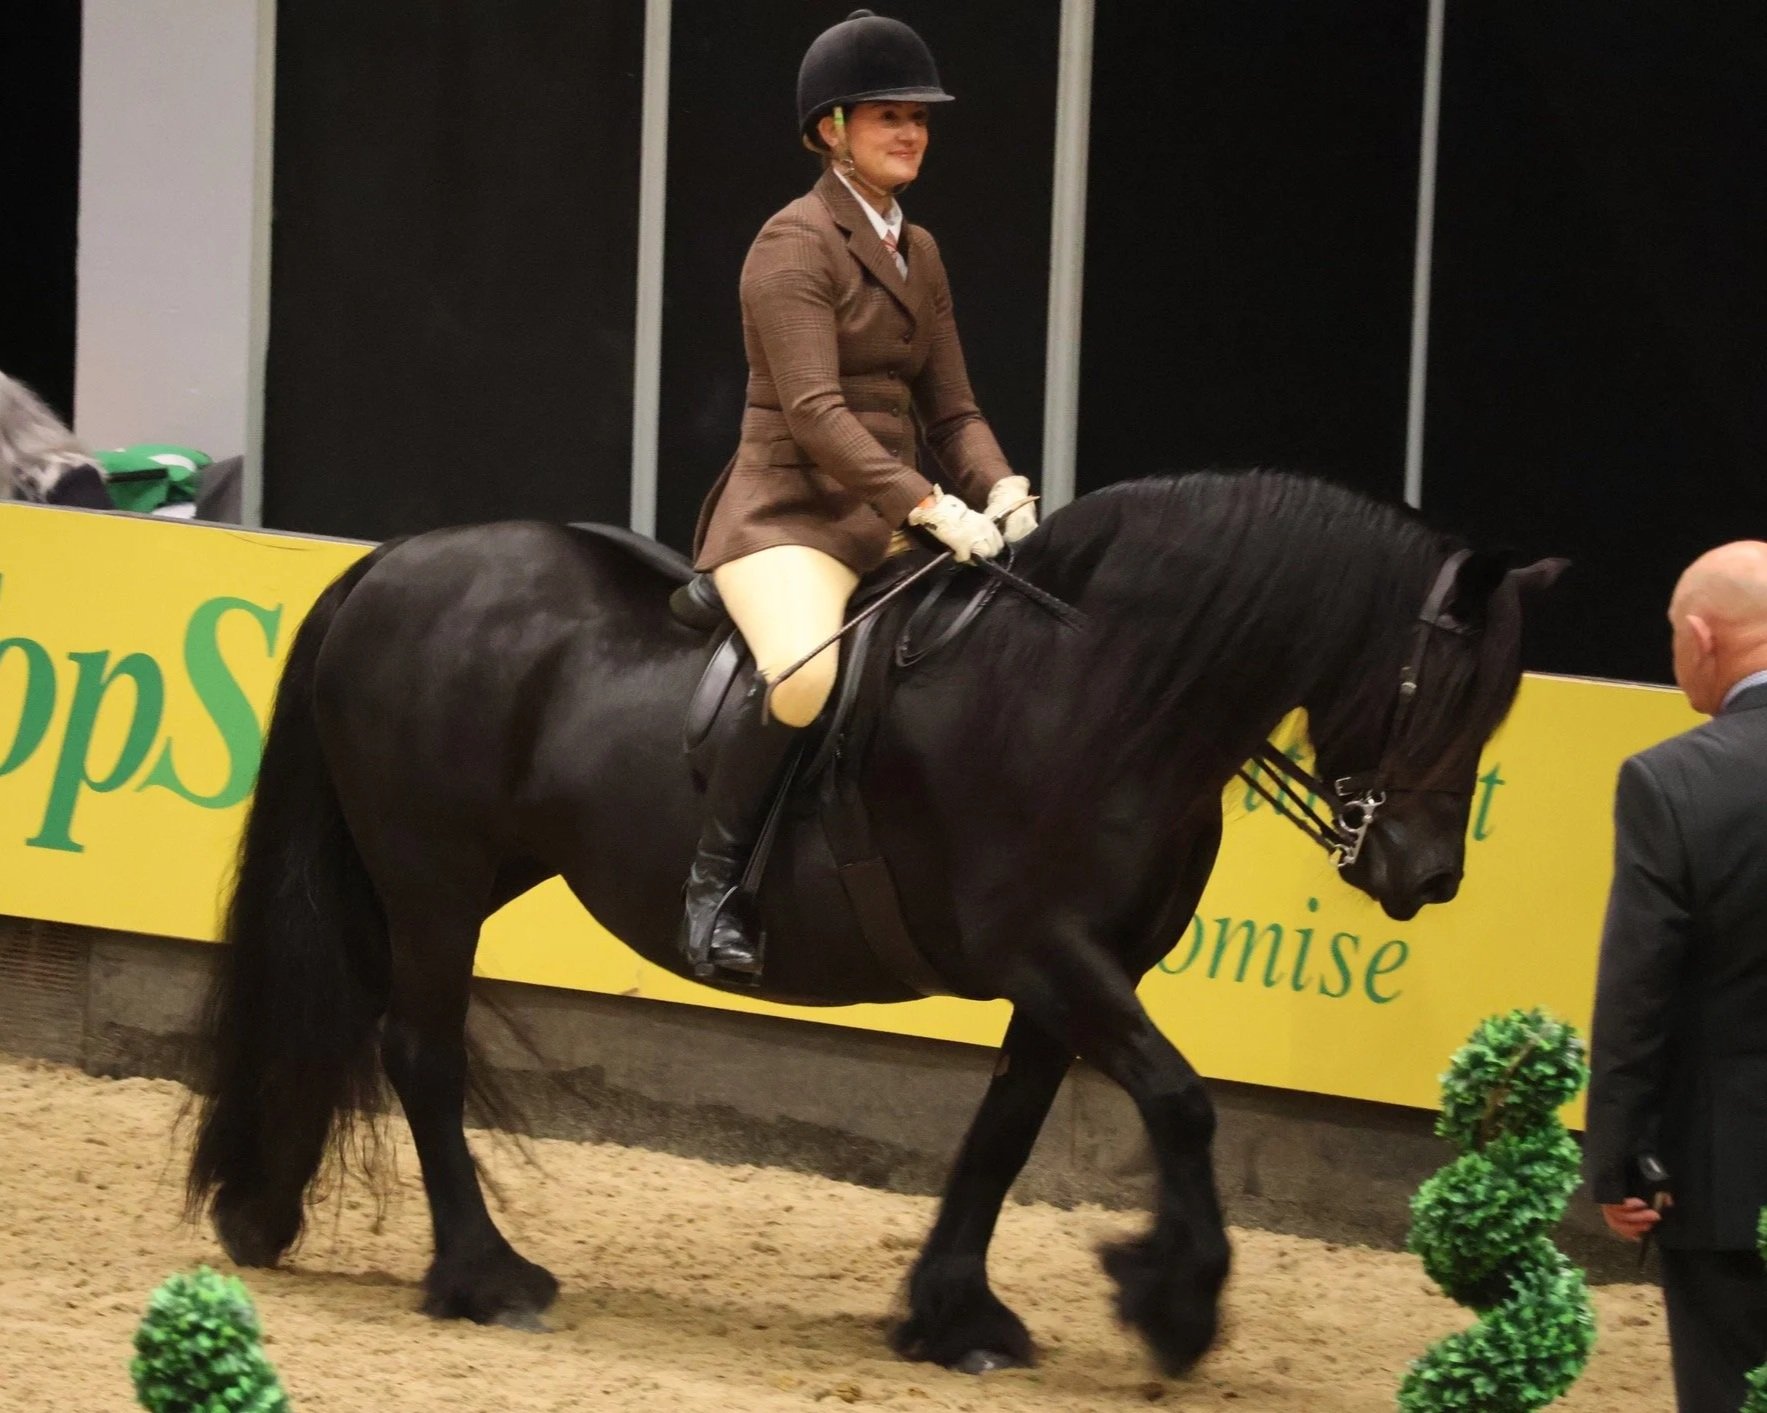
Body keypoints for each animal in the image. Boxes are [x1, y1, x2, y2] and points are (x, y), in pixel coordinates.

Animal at [186, 469, 1562, 1376]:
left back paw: (269, 1210)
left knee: (346, 1017)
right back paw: (485, 1278)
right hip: (432, 876)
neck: (1094, 695)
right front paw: (1171, 1304)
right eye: (1436, 688)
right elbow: (1180, 1102)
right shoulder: (1048, 952)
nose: (1424, 874)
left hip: (443, 878)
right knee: (419, 1052)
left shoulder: (1074, 973)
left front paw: (956, 1316)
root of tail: (391, 560)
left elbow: (1004, 1134)